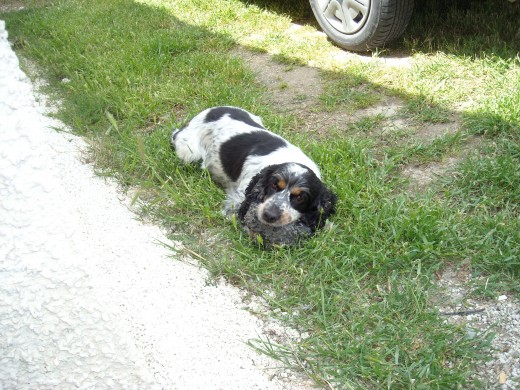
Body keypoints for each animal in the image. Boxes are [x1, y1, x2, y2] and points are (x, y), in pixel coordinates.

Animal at [171, 106, 338, 247]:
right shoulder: (238, 200)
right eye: (274, 185)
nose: (269, 215)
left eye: (300, 197)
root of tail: (207, 111)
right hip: (189, 152)